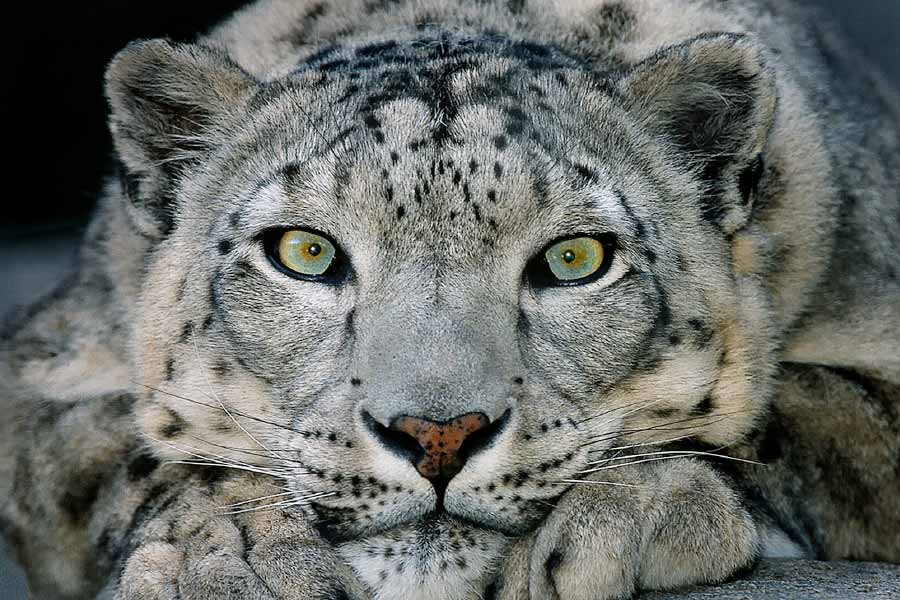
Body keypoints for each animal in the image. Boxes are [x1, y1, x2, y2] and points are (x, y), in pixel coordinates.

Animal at [1, 0, 899, 599]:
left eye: (575, 258)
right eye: (305, 251)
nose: (437, 434)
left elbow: (786, 421)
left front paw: (622, 515)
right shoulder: (48, 371)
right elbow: (139, 452)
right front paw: (230, 554)